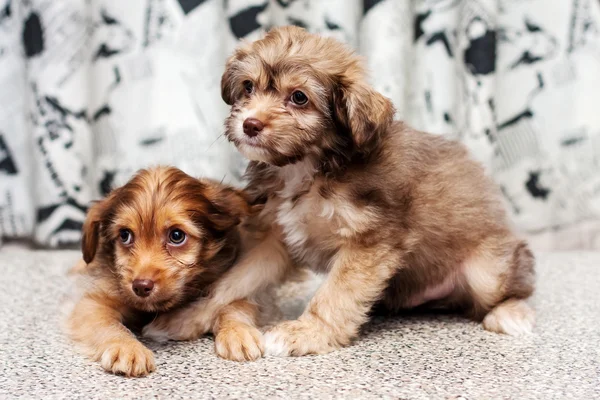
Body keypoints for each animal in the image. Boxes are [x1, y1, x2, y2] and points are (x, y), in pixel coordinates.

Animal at [63, 165, 268, 376]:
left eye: (176, 236)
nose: (141, 286)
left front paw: (237, 331)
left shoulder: (237, 282)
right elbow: (107, 325)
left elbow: (233, 305)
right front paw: (127, 347)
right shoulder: (93, 303)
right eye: (125, 235)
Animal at [144, 26, 536, 358]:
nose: (250, 124)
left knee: (512, 287)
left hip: (487, 270)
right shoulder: (274, 240)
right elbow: (231, 283)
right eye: (248, 87)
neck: (309, 166)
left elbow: (336, 295)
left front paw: (306, 333)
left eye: (299, 97)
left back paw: (511, 312)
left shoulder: (369, 242)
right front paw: (186, 318)